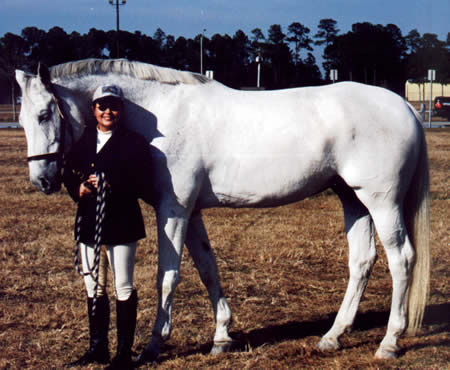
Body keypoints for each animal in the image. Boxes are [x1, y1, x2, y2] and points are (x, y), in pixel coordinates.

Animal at [14, 59, 428, 362]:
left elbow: (168, 276)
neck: (159, 116)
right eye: (20, 119)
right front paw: (221, 337)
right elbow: (207, 268)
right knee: (362, 260)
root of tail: (404, 106)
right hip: (352, 199)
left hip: (381, 201)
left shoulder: (174, 209)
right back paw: (332, 337)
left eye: (45, 115)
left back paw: (389, 342)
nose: (42, 180)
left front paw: (154, 344)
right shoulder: (190, 212)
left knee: (402, 259)